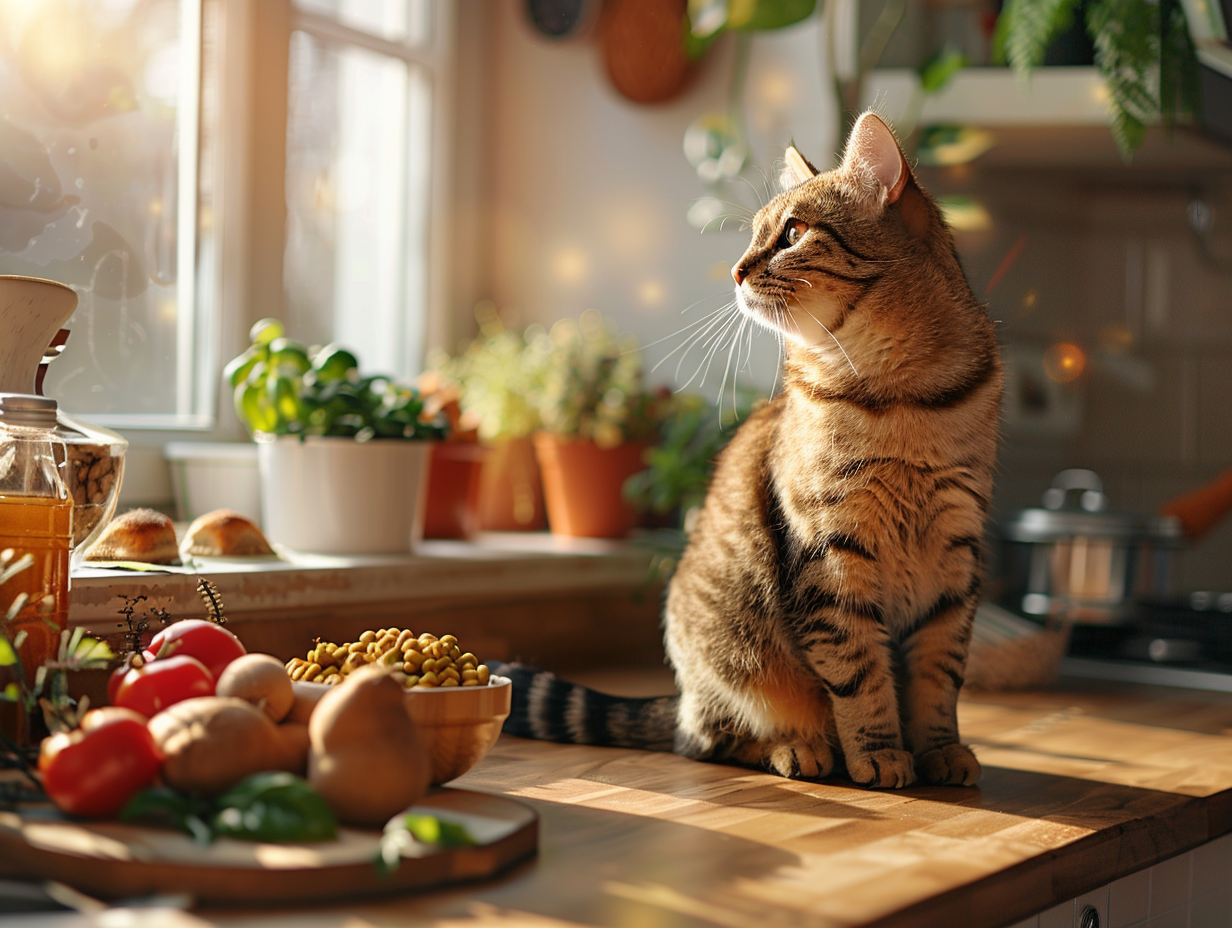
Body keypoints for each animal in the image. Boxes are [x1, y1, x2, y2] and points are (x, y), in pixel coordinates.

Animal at [495, 112, 1005, 783]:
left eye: (793, 232)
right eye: (758, 234)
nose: (737, 270)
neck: (901, 401)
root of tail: (679, 699)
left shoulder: (955, 551)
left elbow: (938, 677)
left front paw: (942, 750)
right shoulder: (830, 554)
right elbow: (860, 675)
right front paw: (879, 754)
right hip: (731, 659)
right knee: (711, 738)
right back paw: (799, 748)